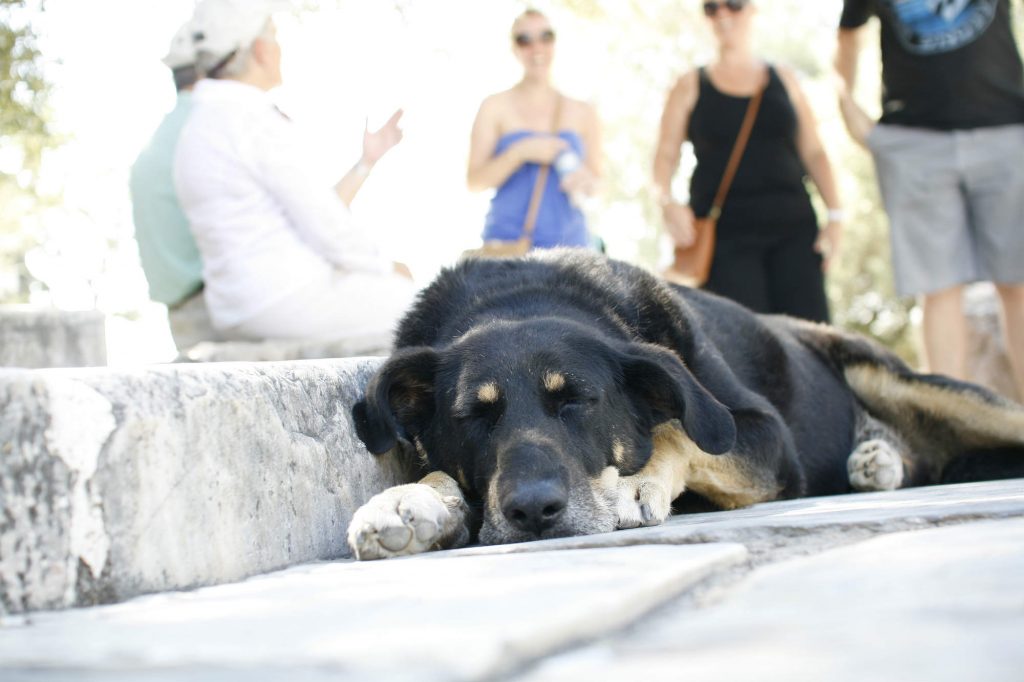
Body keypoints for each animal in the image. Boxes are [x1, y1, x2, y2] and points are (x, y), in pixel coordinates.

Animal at [346, 249, 1024, 557]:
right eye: (472, 417)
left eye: (578, 401)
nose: (533, 510)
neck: (516, 298)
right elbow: (436, 473)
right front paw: (407, 501)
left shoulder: (763, 433)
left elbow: (683, 432)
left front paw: (634, 482)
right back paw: (877, 462)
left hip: (898, 378)